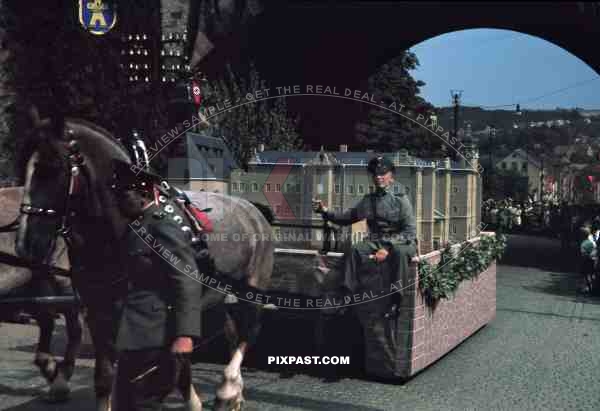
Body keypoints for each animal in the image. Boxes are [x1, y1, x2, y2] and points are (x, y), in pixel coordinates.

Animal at [0, 188, 84, 404]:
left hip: (61, 276)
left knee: (74, 325)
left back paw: (62, 377)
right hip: (37, 278)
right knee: (47, 321)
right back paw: (51, 370)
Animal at [15, 117, 274, 410]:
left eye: (51, 169)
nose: (26, 243)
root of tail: (252, 210)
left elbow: (171, 364)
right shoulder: (97, 312)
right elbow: (106, 377)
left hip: (252, 286)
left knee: (248, 331)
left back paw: (228, 388)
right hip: (218, 293)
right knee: (231, 331)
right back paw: (234, 394)